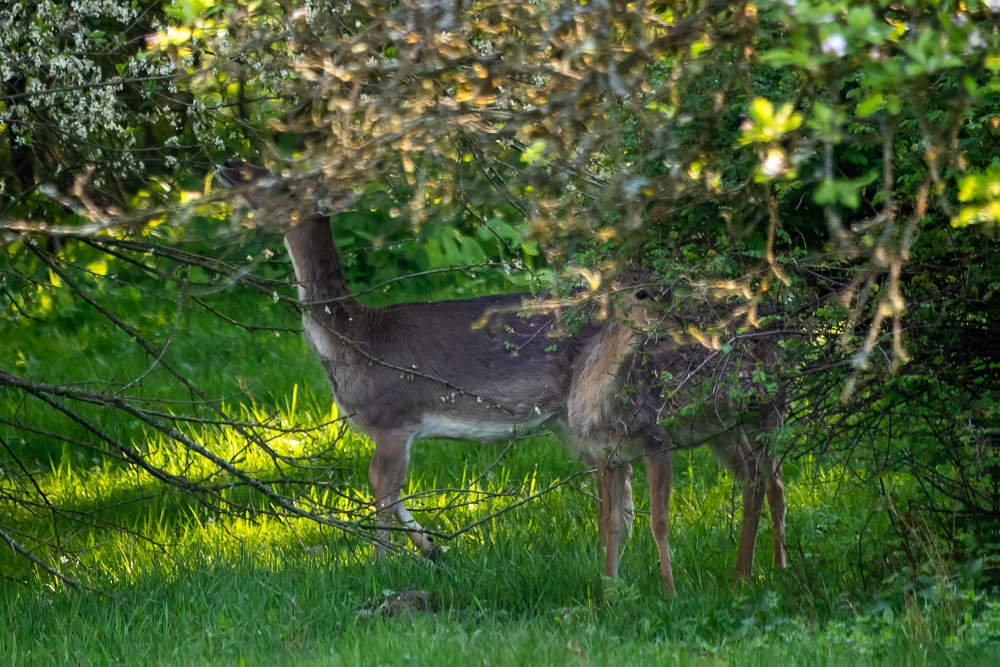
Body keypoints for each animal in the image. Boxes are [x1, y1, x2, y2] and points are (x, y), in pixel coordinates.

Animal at [572, 284, 788, 596]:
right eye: (641, 293)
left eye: (669, 291)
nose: (678, 321)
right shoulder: (607, 454)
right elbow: (611, 521)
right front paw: (608, 594)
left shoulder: (658, 441)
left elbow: (659, 521)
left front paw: (670, 593)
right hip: (723, 429)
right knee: (754, 479)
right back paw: (743, 576)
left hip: (764, 408)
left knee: (773, 484)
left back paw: (776, 568)